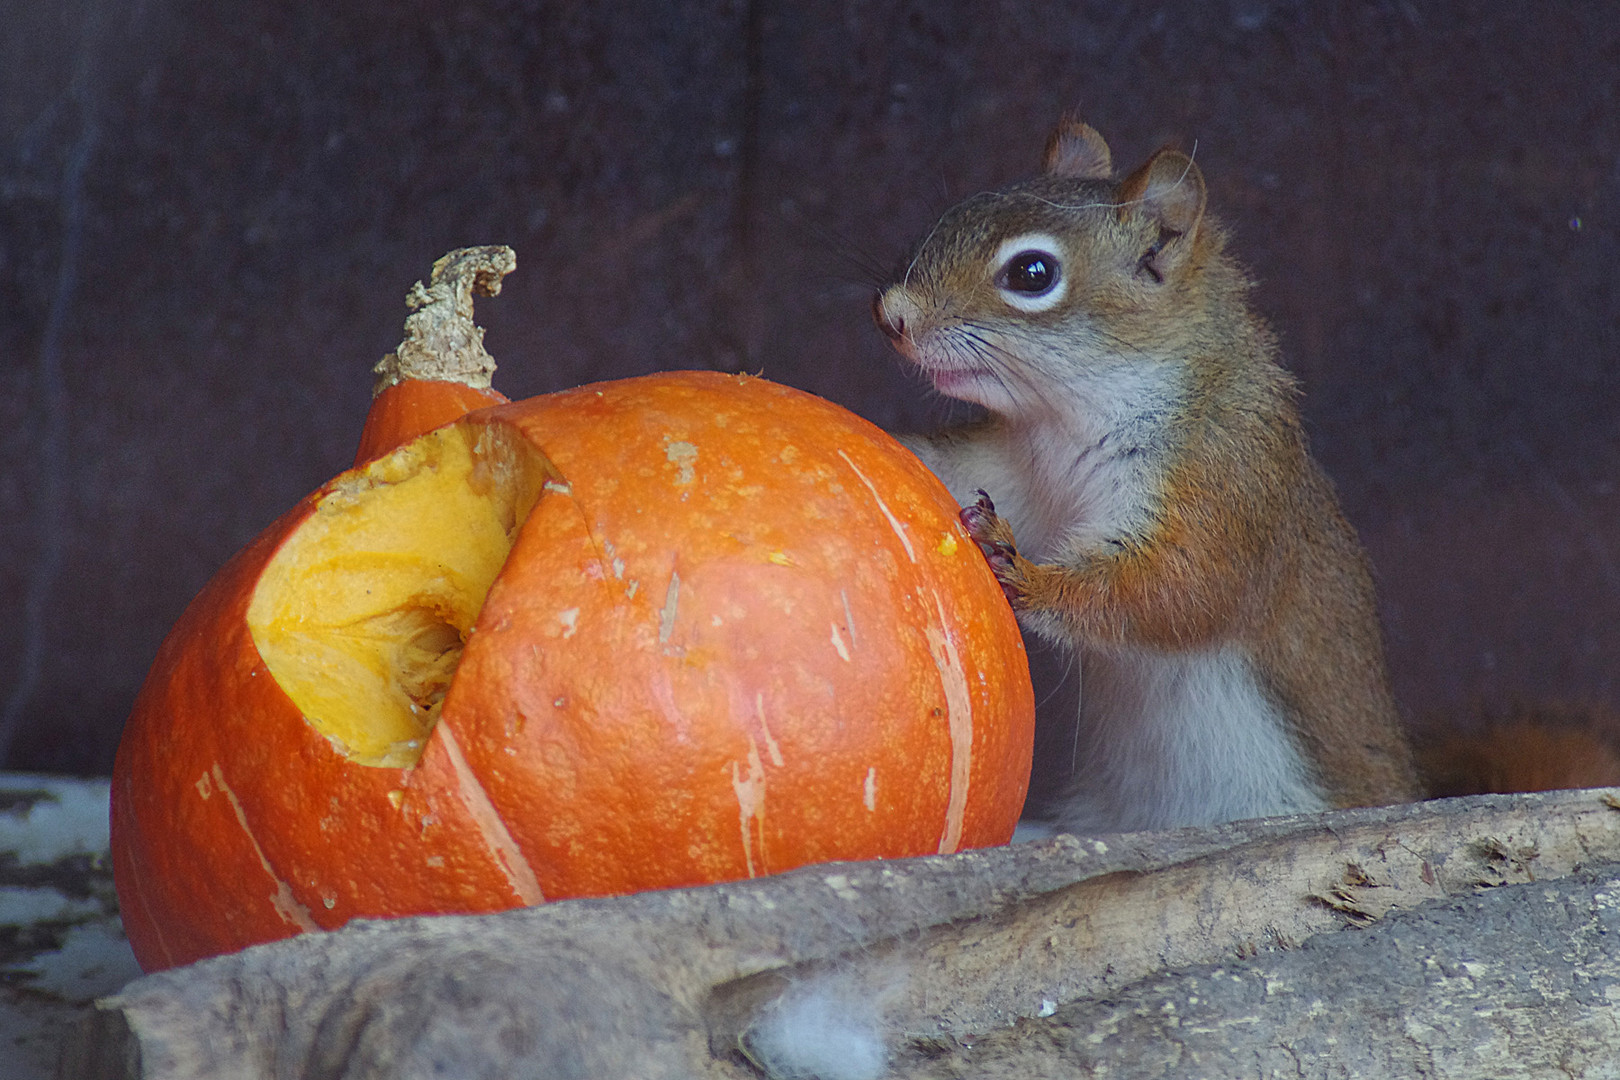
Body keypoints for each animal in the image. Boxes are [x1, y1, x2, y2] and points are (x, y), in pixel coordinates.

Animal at [874, 118, 1419, 835]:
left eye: (1032, 272)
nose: (892, 316)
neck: (1071, 421)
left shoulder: (1220, 479)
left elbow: (1173, 588)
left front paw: (1021, 570)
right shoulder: (1014, 468)